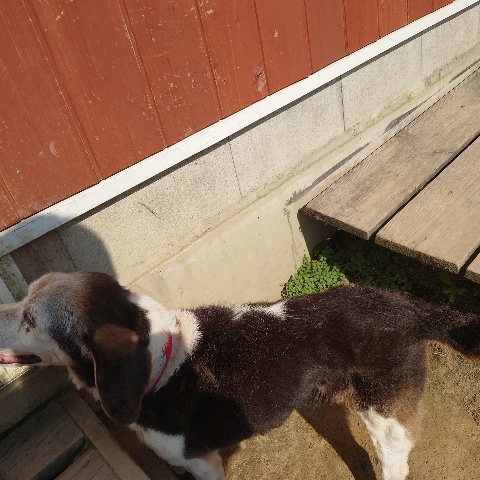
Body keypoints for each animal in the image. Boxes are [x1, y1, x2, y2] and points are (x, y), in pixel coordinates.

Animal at [1, 271, 480, 480]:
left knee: (396, 460)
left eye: (29, 319)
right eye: (24, 301)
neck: (159, 365)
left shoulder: (201, 462)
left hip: (383, 413)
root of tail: (409, 308)